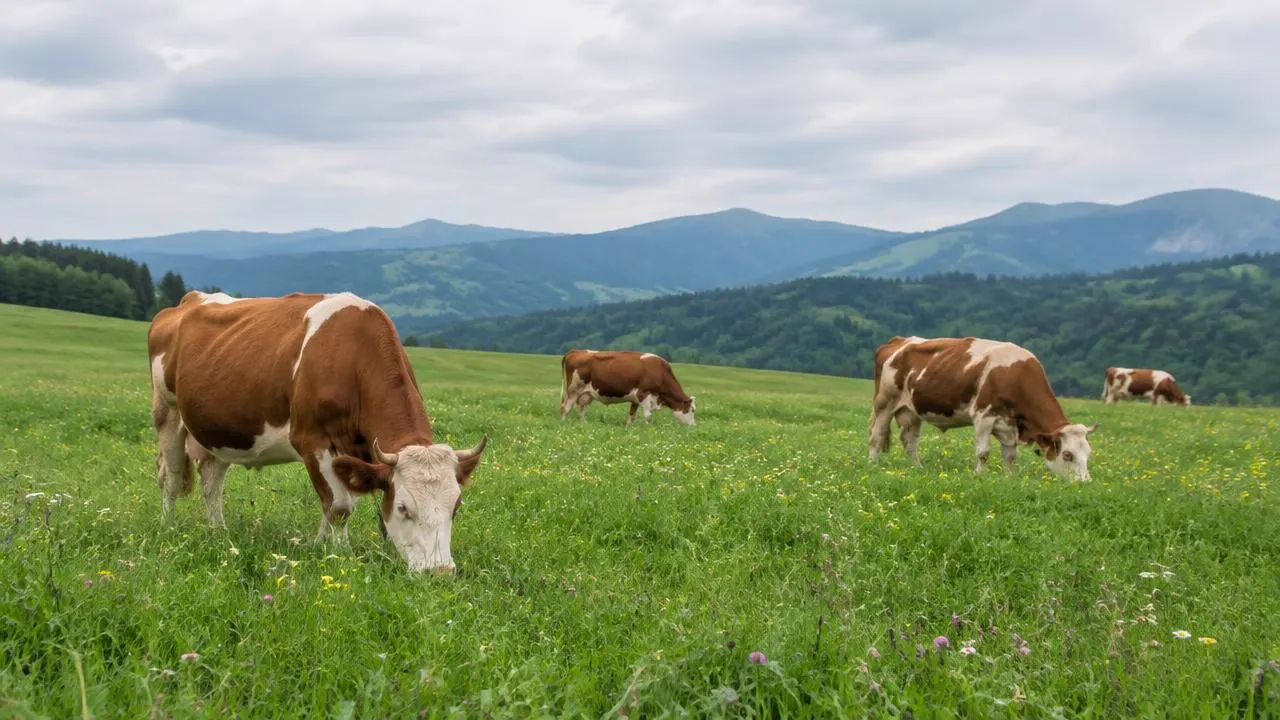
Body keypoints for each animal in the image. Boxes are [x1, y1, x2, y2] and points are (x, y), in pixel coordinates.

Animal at [148, 290, 489, 574]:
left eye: (456, 506)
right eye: (403, 507)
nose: (439, 572)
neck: (352, 356)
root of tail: (188, 300)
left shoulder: (353, 453)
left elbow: (337, 501)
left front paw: (321, 546)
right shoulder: (312, 440)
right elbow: (338, 506)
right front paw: (342, 554)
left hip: (221, 432)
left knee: (211, 483)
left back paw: (219, 531)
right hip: (167, 411)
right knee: (171, 476)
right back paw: (168, 527)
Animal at [559, 349, 696, 425]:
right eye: (692, 410)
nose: (693, 426)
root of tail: (575, 351)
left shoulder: (635, 398)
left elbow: (632, 415)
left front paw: (629, 428)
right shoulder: (643, 394)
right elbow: (648, 415)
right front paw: (649, 430)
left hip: (586, 394)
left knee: (580, 408)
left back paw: (585, 424)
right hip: (574, 390)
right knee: (567, 407)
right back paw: (563, 424)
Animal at [868, 336, 1098, 481]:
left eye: (1088, 452)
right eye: (1067, 454)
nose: (1085, 482)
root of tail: (899, 340)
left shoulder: (1009, 425)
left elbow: (1010, 456)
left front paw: (1011, 478)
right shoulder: (983, 416)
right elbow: (983, 452)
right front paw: (979, 475)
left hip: (911, 411)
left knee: (909, 441)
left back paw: (919, 467)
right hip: (884, 403)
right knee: (876, 435)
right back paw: (873, 464)